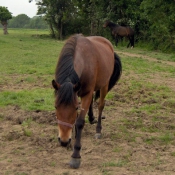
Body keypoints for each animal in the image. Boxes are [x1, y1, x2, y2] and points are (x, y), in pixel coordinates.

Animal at [52, 33, 121, 169]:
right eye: (56, 106)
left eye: (75, 107)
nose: (63, 141)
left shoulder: (86, 94)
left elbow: (79, 122)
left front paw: (76, 154)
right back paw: (91, 118)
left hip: (104, 85)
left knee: (100, 105)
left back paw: (98, 129)